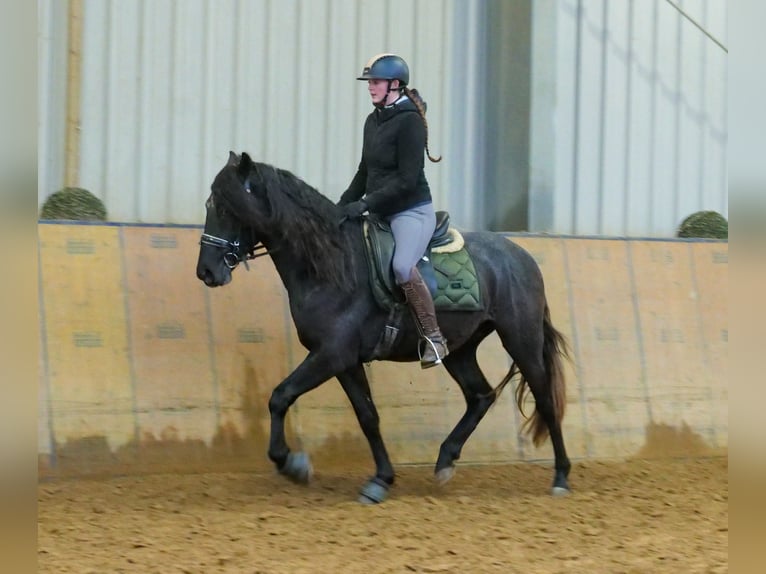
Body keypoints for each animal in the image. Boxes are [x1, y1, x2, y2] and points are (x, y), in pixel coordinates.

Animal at [195, 152, 572, 504]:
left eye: (227, 208)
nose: (207, 272)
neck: (334, 266)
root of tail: (521, 256)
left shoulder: (331, 354)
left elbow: (280, 396)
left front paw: (292, 464)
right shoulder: (345, 361)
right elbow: (367, 416)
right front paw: (380, 481)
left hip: (520, 339)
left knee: (544, 398)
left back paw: (561, 478)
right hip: (460, 349)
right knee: (481, 396)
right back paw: (445, 462)